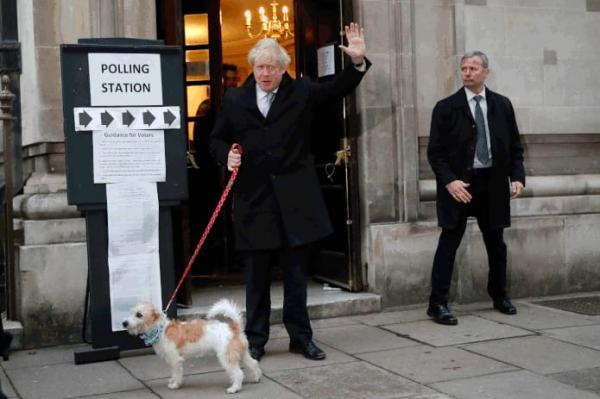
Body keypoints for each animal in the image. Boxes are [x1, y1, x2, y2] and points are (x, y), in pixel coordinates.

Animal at [123, 300, 262, 394]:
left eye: (139, 315)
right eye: (131, 312)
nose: (124, 323)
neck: (161, 329)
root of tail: (234, 328)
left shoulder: (175, 360)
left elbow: (177, 373)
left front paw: (175, 384)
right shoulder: (171, 360)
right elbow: (173, 372)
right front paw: (172, 381)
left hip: (226, 357)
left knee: (238, 373)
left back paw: (234, 388)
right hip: (243, 354)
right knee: (253, 363)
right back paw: (255, 378)